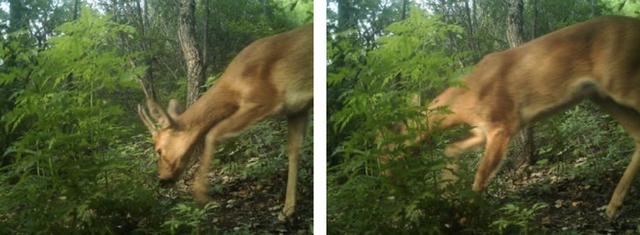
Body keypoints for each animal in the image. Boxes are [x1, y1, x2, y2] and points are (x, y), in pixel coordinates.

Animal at [137, 24, 312, 221]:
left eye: (158, 150)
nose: (162, 179)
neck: (233, 87)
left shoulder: (267, 100)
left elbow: (213, 133)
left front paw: (202, 195)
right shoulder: (297, 109)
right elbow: (294, 151)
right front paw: (288, 209)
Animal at [410, 16, 640, 218]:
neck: (467, 98)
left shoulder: (501, 124)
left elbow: (481, 175)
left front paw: (464, 218)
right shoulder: (481, 131)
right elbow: (451, 149)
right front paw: (446, 200)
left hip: (622, 80)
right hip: (601, 96)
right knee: (638, 135)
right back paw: (613, 206)